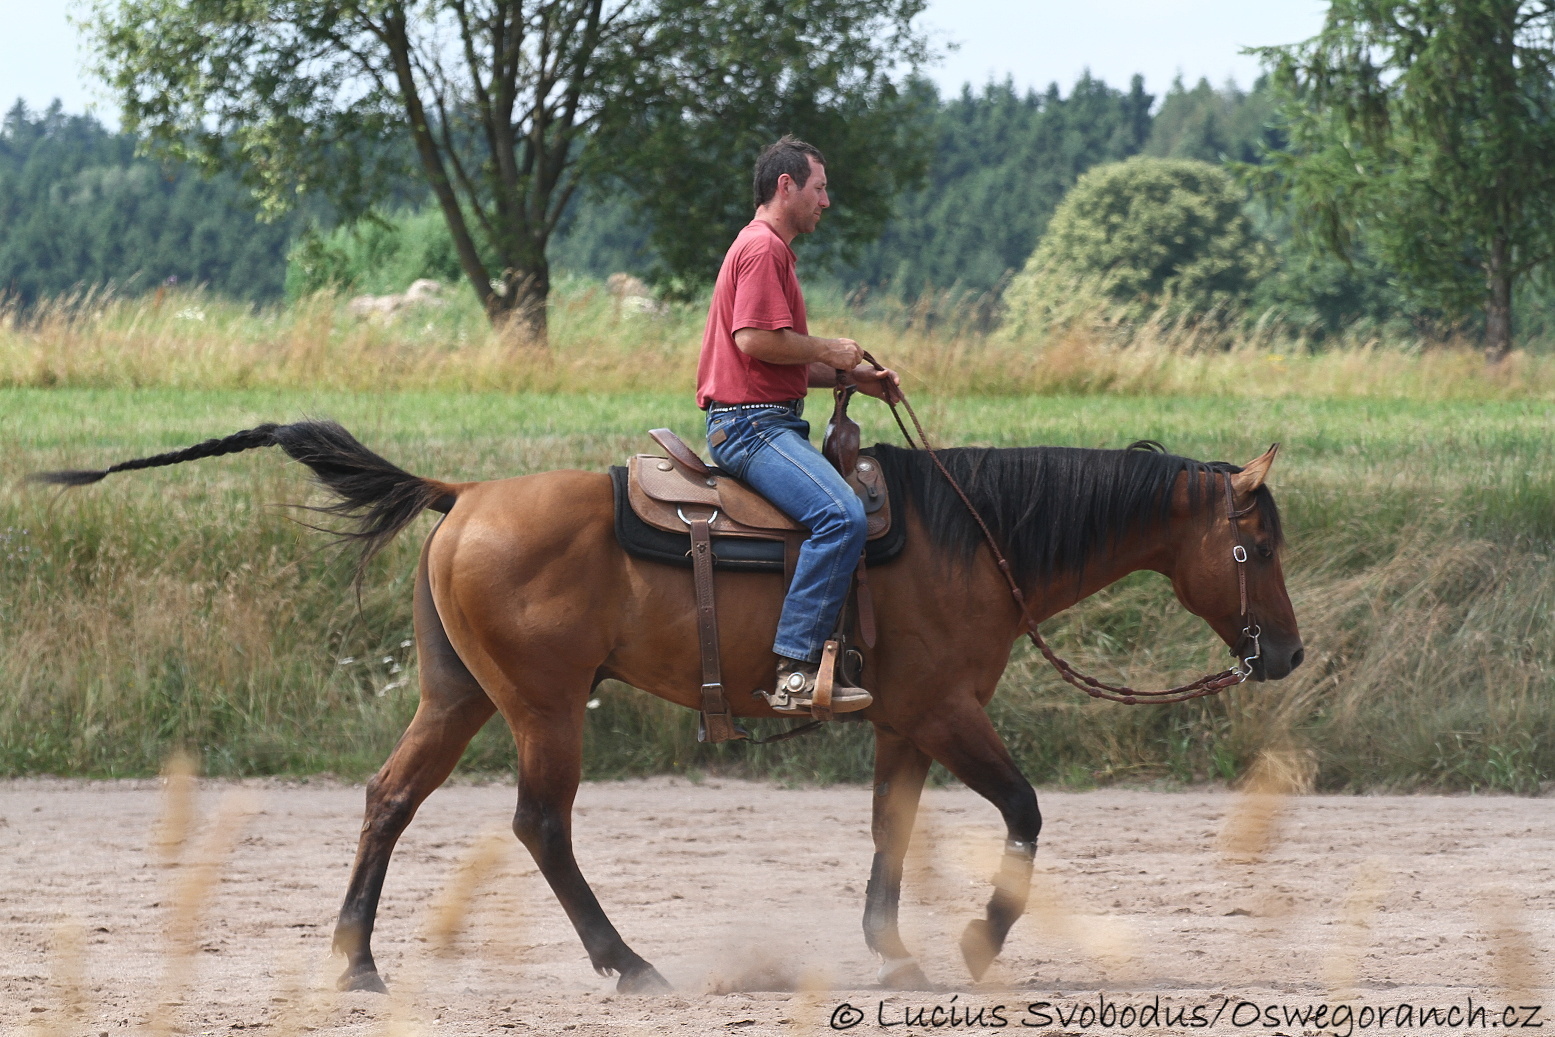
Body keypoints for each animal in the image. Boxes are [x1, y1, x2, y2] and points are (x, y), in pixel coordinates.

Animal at [33, 422, 1299, 995]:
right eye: (1253, 544)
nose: (1282, 651)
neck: (968, 535)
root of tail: (463, 493)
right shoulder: (945, 709)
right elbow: (1027, 808)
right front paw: (980, 938)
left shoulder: (902, 722)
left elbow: (890, 830)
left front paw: (891, 947)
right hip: (544, 706)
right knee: (540, 824)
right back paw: (625, 960)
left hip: (457, 698)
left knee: (389, 796)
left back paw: (355, 960)